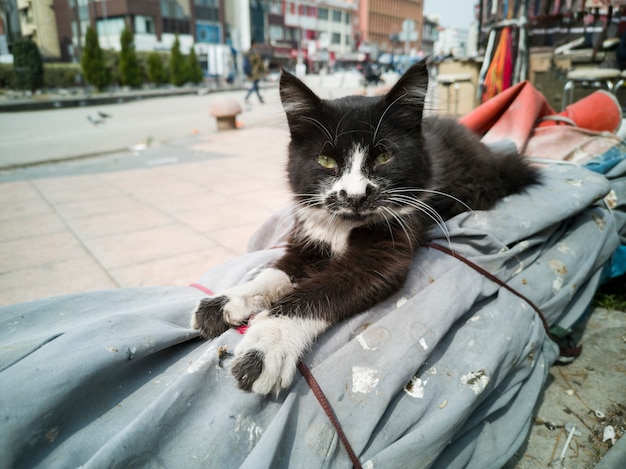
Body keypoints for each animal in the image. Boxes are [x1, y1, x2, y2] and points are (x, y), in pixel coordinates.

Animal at [190, 62, 536, 394]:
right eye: (327, 161)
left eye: (383, 156)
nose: (355, 195)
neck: (342, 225)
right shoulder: (306, 238)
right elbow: (274, 273)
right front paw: (225, 301)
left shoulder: (382, 256)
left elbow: (317, 292)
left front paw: (266, 345)